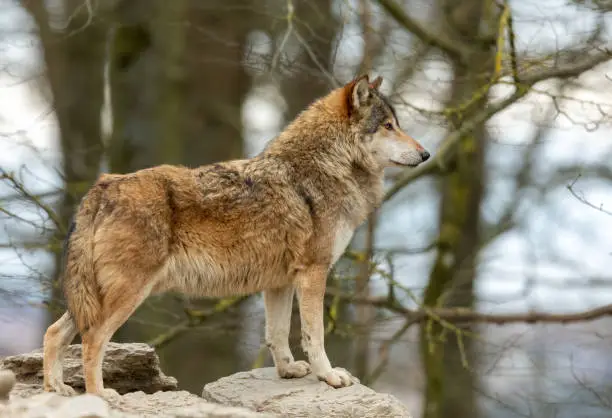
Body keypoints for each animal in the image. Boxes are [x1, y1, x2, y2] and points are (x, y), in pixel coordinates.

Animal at [41, 73, 430, 396]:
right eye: (389, 126)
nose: (426, 154)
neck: (326, 166)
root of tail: (103, 186)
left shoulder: (280, 282)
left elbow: (276, 334)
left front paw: (288, 371)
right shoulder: (313, 274)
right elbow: (314, 335)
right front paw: (330, 376)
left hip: (93, 297)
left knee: (54, 333)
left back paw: (55, 390)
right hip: (127, 295)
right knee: (92, 340)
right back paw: (99, 396)